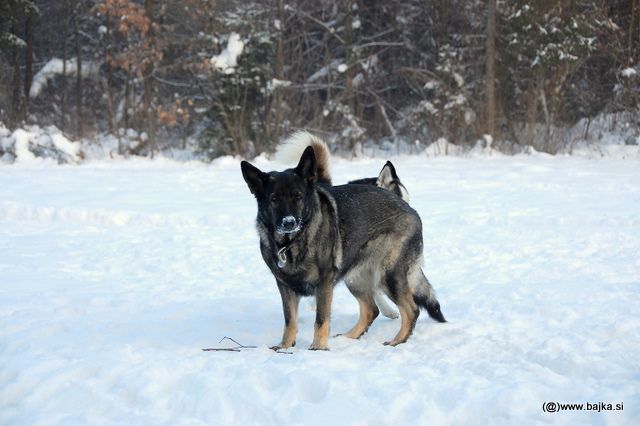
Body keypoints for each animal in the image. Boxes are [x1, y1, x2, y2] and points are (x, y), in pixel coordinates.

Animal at [240, 132, 444, 350]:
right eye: (274, 199)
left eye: (298, 196)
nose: (289, 222)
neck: (292, 242)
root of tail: (410, 210)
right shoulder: (285, 286)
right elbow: (290, 320)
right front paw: (285, 346)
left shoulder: (324, 283)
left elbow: (321, 318)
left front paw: (318, 348)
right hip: (356, 277)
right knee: (370, 309)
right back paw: (349, 337)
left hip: (388, 274)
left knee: (411, 309)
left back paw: (397, 341)